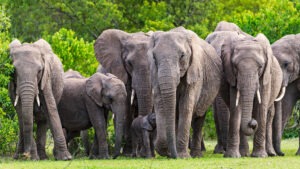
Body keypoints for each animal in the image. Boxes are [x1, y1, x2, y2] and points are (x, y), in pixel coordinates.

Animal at [149, 27, 224, 158]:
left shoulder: (195, 72)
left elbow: (186, 106)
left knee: (199, 118)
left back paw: (196, 155)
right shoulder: (155, 74)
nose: (172, 155)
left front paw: (183, 156)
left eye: (182, 56)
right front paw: (168, 152)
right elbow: (160, 104)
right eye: (154, 56)